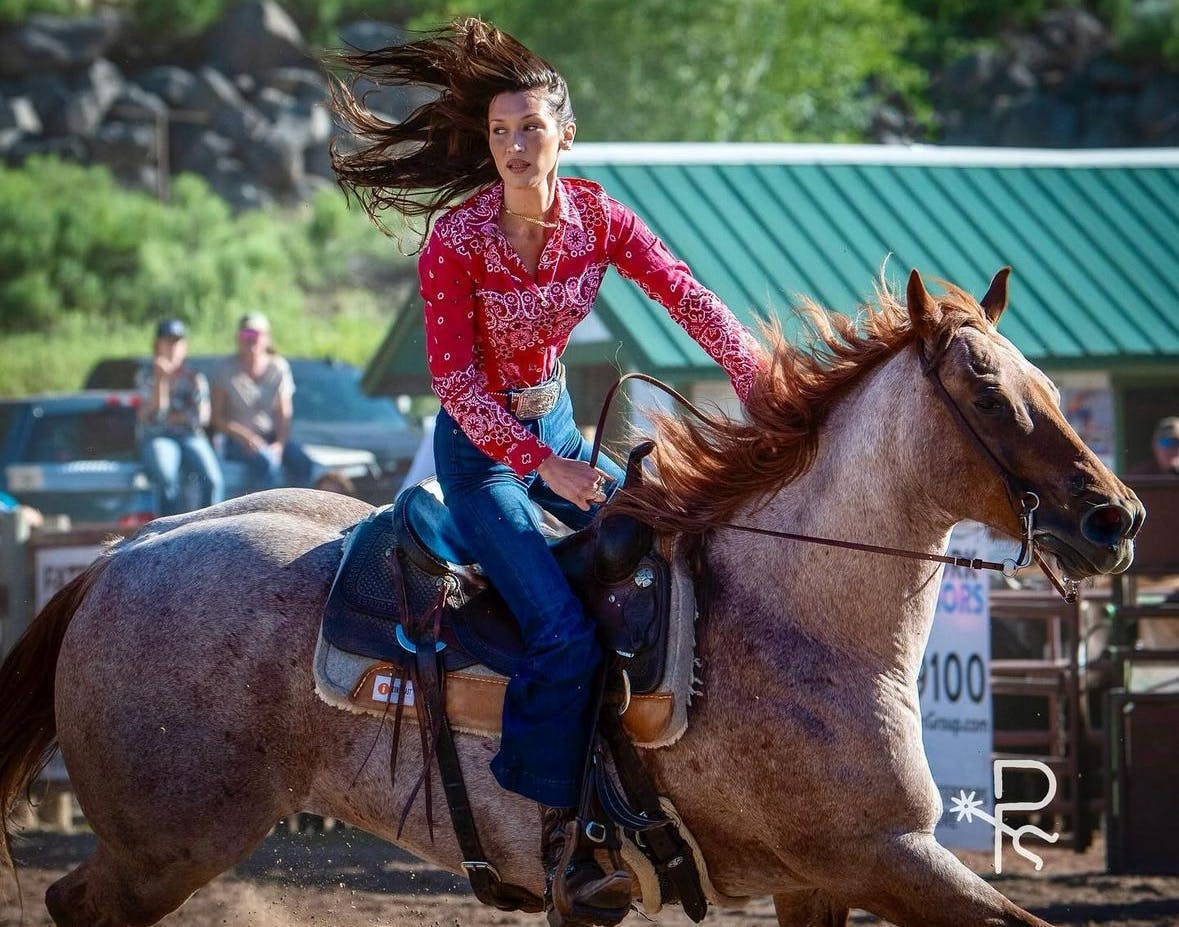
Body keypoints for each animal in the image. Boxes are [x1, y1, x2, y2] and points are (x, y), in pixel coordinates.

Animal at [0, 267, 1141, 924]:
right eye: (987, 391)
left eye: (1047, 381)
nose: (1115, 518)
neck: (796, 612)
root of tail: (125, 553)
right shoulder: (881, 858)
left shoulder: (820, 879)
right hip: (165, 845)